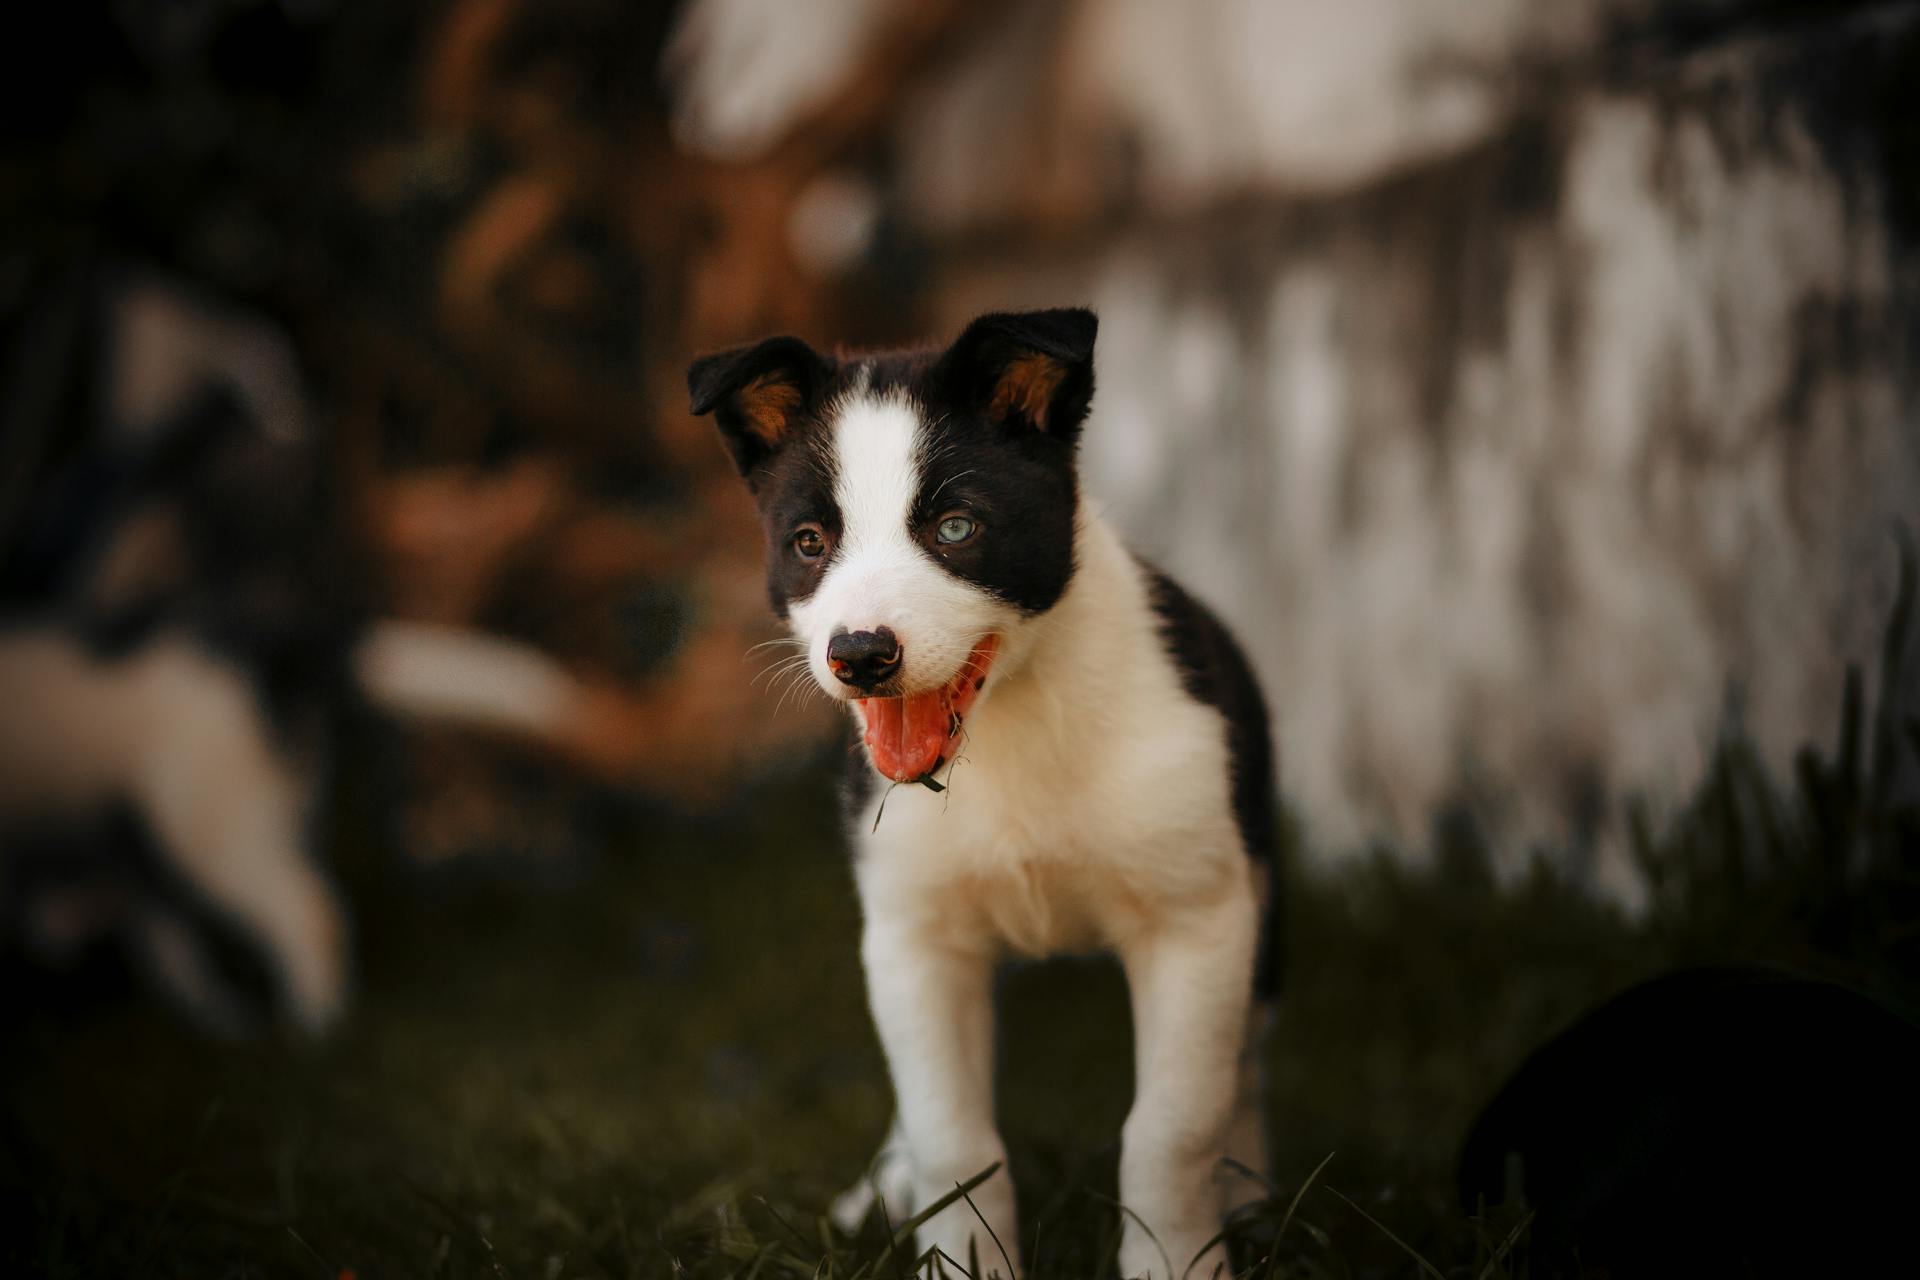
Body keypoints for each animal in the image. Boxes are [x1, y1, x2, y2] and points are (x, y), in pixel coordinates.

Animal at [687, 310, 1274, 1280]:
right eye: (810, 544)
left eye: (956, 527)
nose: (861, 654)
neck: (1015, 727)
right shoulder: (915, 938)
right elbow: (951, 1137)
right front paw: (963, 1257)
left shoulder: (1198, 918)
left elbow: (1172, 1127)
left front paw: (1179, 1259)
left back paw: (1251, 1187)